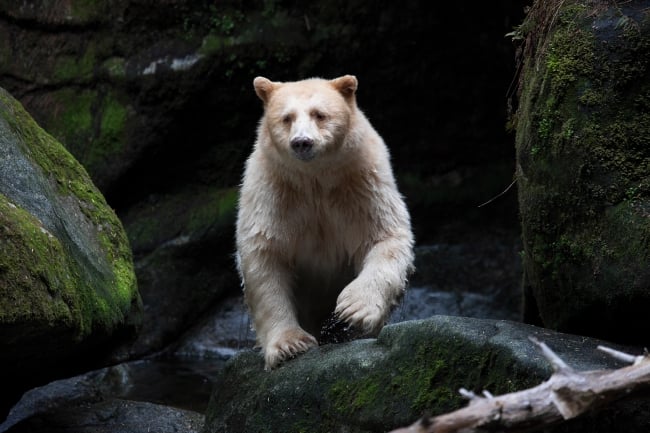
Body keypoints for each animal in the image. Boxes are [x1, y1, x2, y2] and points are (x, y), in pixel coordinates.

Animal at [236, 75, 415, 370]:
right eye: (287, 118)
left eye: (319, 114)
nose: (302, 142)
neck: (314, 179)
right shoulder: (273, 193)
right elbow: (266, 256)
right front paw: (290, 345)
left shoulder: (360, 183)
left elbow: (384, 236)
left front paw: (353, 309)